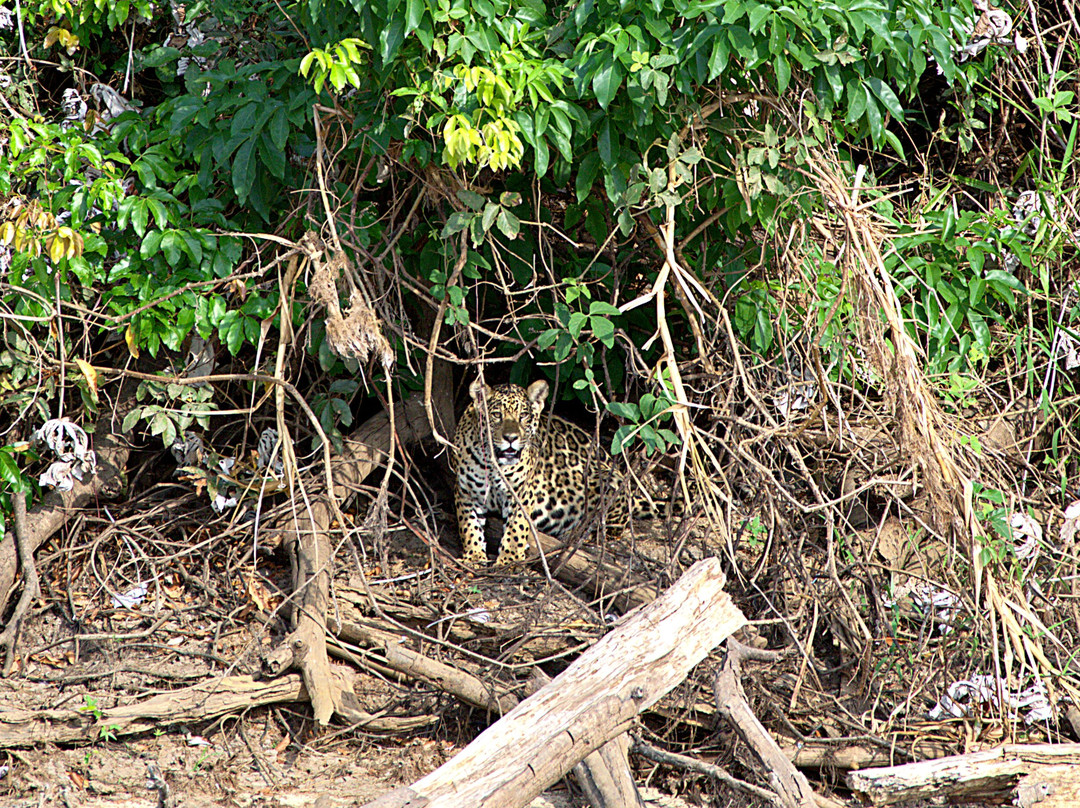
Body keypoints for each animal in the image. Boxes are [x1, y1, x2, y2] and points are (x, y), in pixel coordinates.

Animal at [451, 378, 653, 567]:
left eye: (523, 416)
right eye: (496, 415)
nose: (510, 438)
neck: (494, 464)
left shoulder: (522, 494)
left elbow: (516, 528)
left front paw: (510, 559)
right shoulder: (465, 492)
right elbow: (468, 526)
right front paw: (473, 556)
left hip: (607, 480)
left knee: (609, 526)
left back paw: (573, 534)